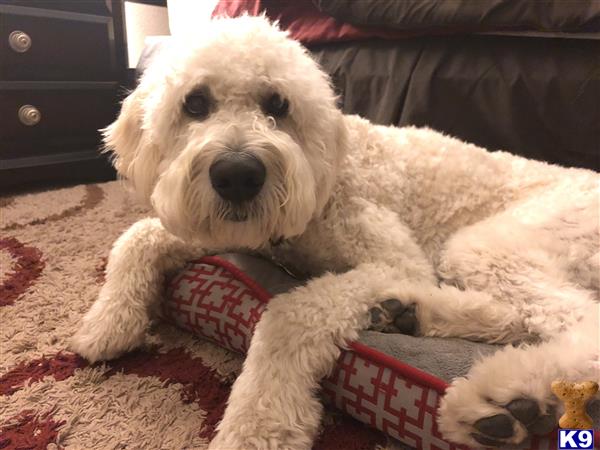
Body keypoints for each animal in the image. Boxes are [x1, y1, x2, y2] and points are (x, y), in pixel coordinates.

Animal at [71, 15, 600, 448]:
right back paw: (411, 314)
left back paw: (505, 398)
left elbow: (289, 311)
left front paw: (259, 421)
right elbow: (135, 237)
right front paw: (107, 323)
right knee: (522, 315)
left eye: (278, 103)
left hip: (488, 244)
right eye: (195, 103)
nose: (238, 175)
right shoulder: (232, 228)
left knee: (578, 322)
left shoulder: (396, 259)